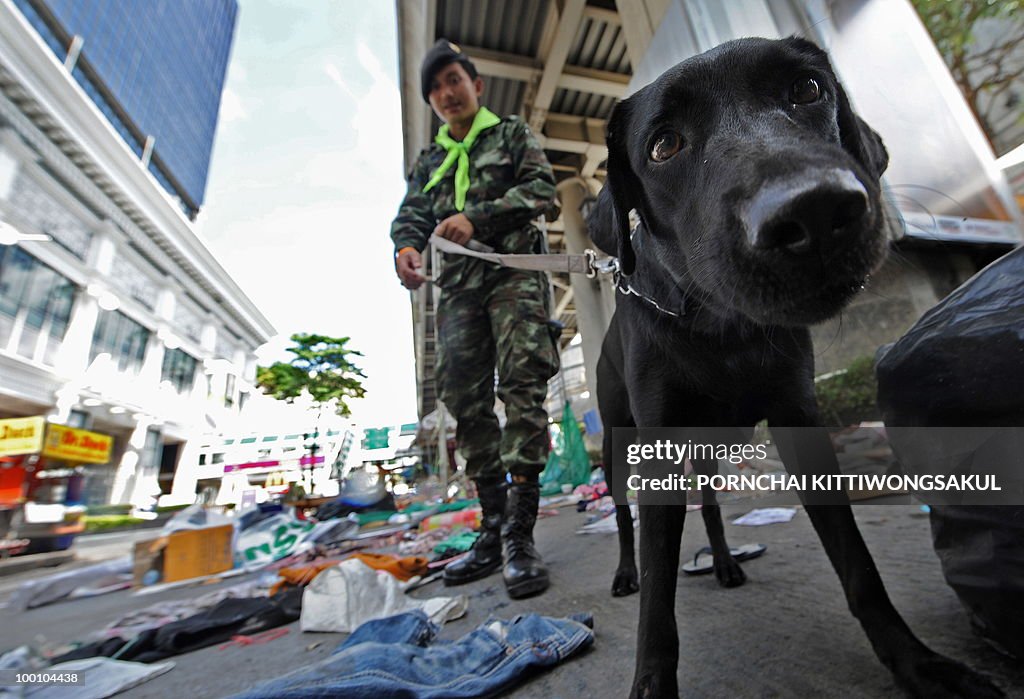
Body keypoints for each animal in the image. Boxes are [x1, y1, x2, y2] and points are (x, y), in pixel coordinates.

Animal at [589, 36, 1003, 699]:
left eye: (807, 89)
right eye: (663, 145)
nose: (815, 213)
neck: (723, 332)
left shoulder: (799, 419)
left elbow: (858, 565)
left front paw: (915, 662)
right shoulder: (658, 445)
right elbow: (658, 598)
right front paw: (651, 679)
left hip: (709, 447)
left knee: (709, 503)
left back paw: (724, 562)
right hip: (618, 444)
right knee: (626, 518)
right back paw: (627, 570)